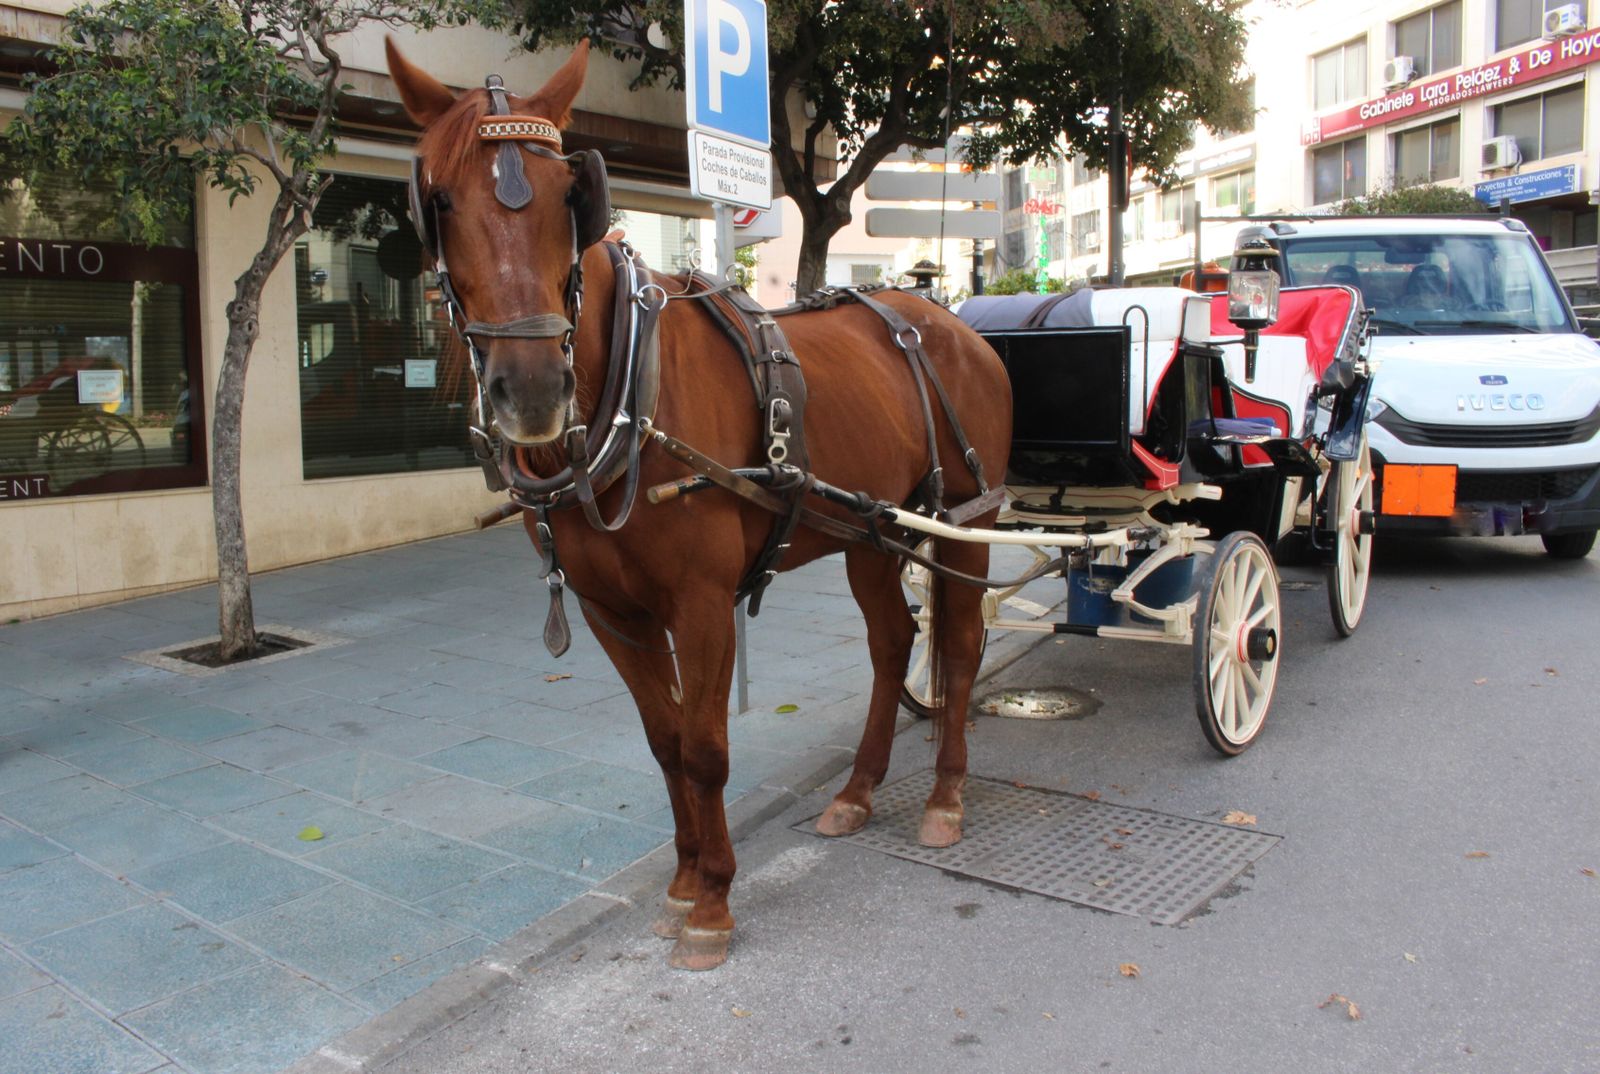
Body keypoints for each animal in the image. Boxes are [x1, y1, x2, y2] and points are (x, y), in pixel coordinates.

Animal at [387, 39, 1012, 970]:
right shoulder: (613, 612)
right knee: (893, 644)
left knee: (961, 648)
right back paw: (858, 789)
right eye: (439, 200)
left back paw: (944, 797)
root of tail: (945, 318)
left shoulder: (704, 602)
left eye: (570, 196)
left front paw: (715, 900)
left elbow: (708, 746)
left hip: (968, 520)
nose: (531, 391)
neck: (630, 393)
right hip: (872, 531)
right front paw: (684, 879)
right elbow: (665, 740)